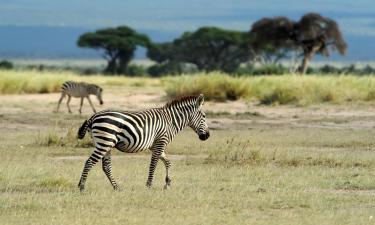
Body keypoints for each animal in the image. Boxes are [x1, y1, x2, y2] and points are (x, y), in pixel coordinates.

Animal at [76, 94, 212, 191]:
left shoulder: (156, 145)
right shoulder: (160, 141)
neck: (170, 121)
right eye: (204, 116)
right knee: (89, 162)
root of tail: (93, 117)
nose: (207, 136)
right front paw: (149, 185)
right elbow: (154, 164)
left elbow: (167, 162)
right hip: (104, 142)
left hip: (106, 144)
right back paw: (82, 187)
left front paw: (167, 183)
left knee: (106, 167)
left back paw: (116, 187)